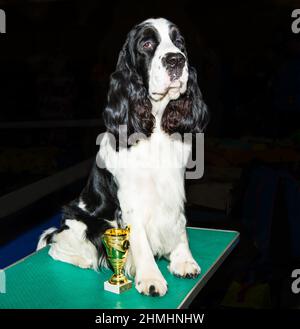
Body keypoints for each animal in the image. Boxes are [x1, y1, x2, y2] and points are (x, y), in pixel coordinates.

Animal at [36, 16, 207, 296]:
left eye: (179, 42)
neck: (155, 125)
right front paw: (150, 278)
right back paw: (84, 259)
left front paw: (183, 260)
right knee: (56, 245)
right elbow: (139, 240)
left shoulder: (174, 187)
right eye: (147, 44)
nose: (176, 60)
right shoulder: (130, 200)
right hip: (81, 220)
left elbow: (179, 223)